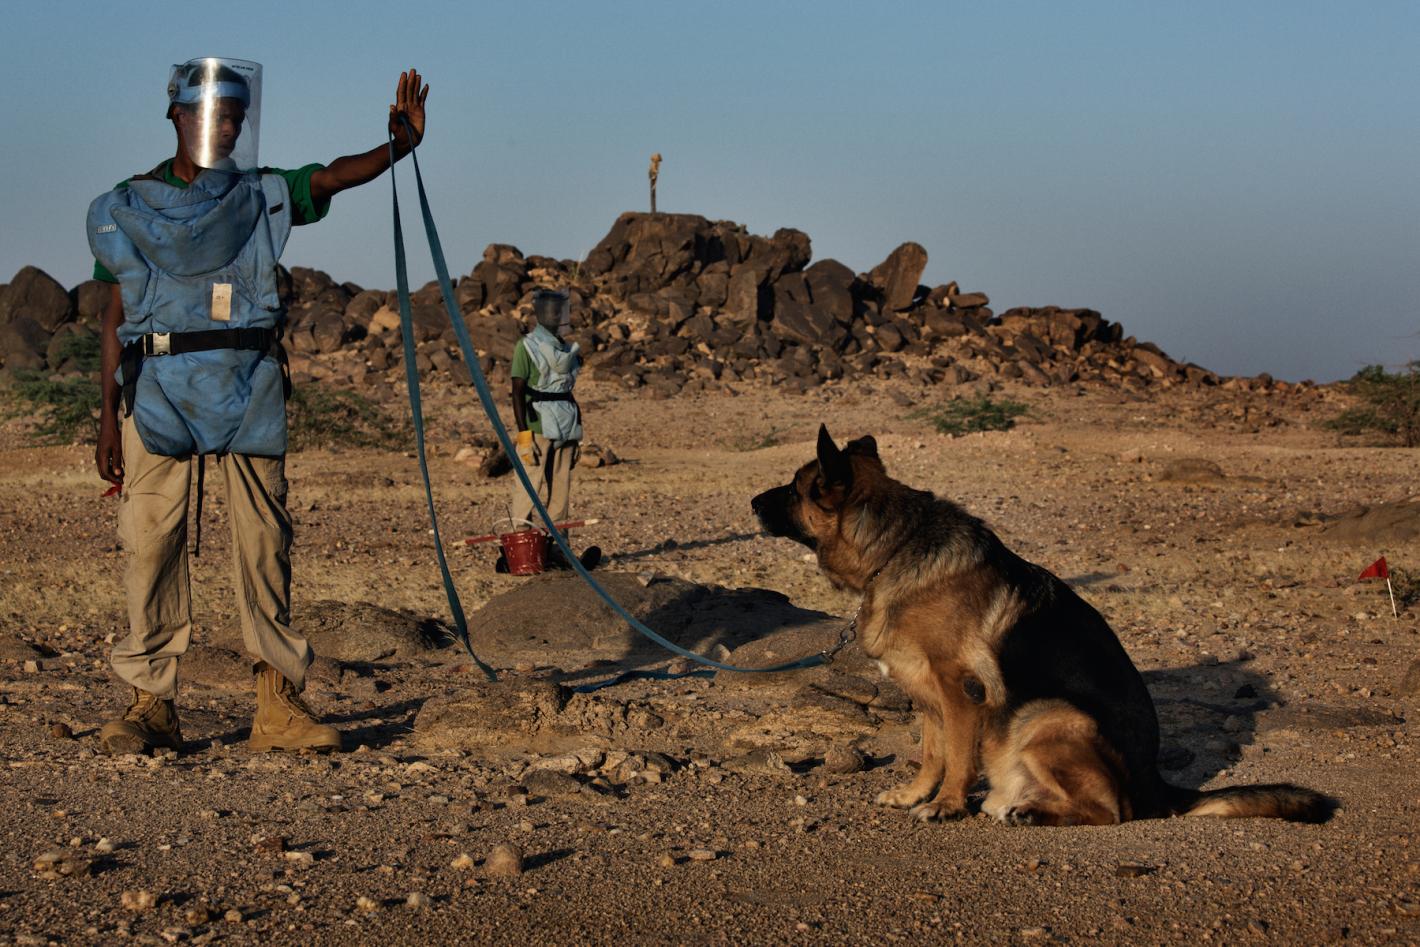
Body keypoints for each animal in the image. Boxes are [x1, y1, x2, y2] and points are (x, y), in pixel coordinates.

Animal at [751, 426, 1333, 826]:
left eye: (795, 488)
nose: (752, 501)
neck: (895, 546)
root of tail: (1157, 786)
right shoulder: (926, 692)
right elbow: (933, 752)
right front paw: (916, 794)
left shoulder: (961, 690)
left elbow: (957, 757)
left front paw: (946, 805)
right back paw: (1020, 805)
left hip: (1048, 715)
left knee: (1113, 811)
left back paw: (1035, 814)